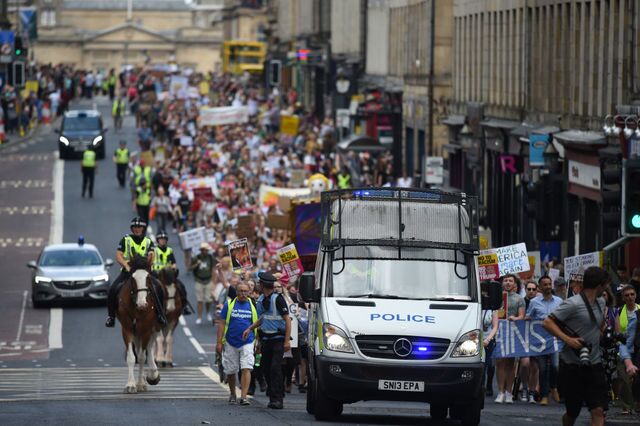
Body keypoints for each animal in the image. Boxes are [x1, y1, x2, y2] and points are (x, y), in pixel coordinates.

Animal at [117, 256, 162, 392]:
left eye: (148, 278)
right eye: (132, 278)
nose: (142, 304)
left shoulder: (146, 329)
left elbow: (142, 357)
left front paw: (141, 384)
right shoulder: (127, 329)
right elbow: (132, 357)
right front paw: (131, 384)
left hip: (154, 327)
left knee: (150, 346)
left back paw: (153, 374)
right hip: (136, 331)